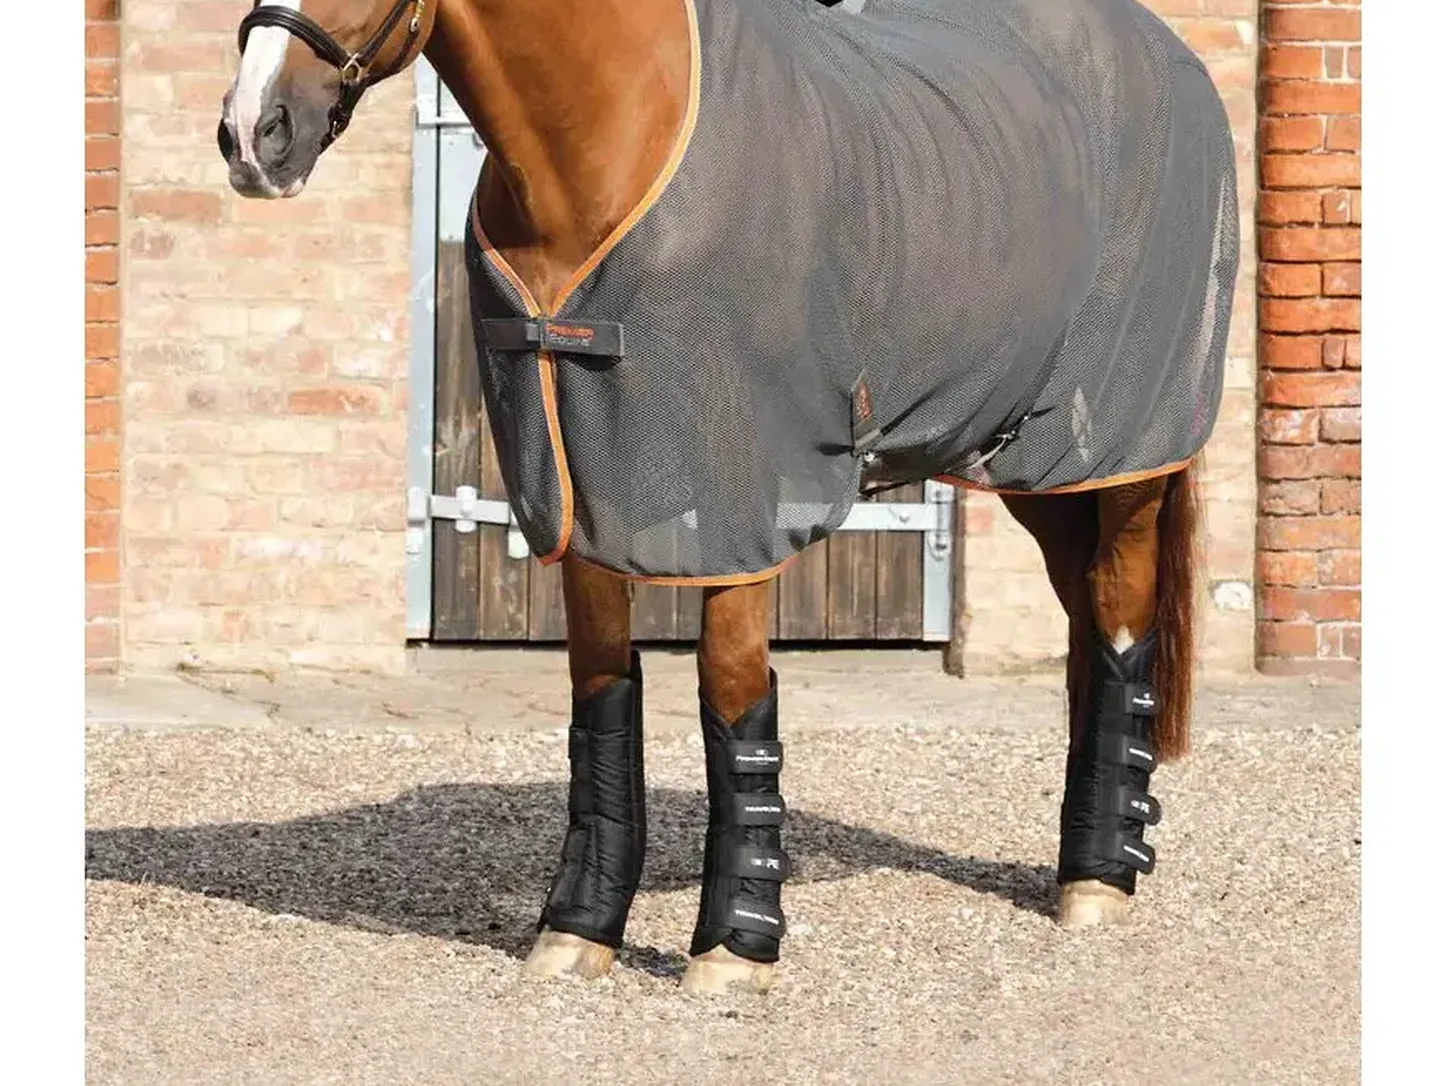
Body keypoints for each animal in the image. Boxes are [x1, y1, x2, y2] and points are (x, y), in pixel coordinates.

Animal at [217, 0, 1238, 995]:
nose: (252, 133)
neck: (607, 153)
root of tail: (1169, 52)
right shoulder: (582, 490)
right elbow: (602, 692)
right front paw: (576, 932)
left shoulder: (742, 499)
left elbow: (734, 692)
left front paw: (733, 949)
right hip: (1037, 464)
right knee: (1086, 623)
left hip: (1124, 457)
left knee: (1120, 615)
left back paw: (1097, 886)